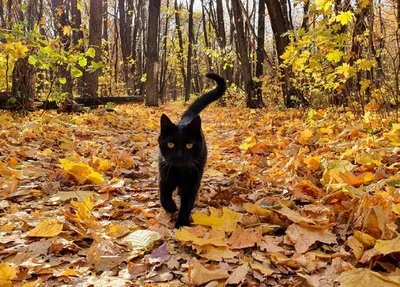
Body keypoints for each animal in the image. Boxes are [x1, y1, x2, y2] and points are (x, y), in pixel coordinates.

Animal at [159, 73, 227, 228]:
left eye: (189, 145)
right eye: (170, 144)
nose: (179, 155)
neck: (179, 172)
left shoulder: (192, 183)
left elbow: (187, 204)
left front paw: (182, 223)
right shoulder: (164, 176)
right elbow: (164, 197)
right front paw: (172, 207)